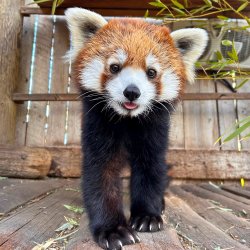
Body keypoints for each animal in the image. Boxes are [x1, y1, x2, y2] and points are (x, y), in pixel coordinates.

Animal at [65, 7, 208, 250]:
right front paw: (113, 229)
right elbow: (100, 173)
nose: (132, 92)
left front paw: (147, 216)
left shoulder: (155, 131)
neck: (127, 120)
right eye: (115, 67)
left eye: (151, 72)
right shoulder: (97, 127)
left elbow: (151, 168)